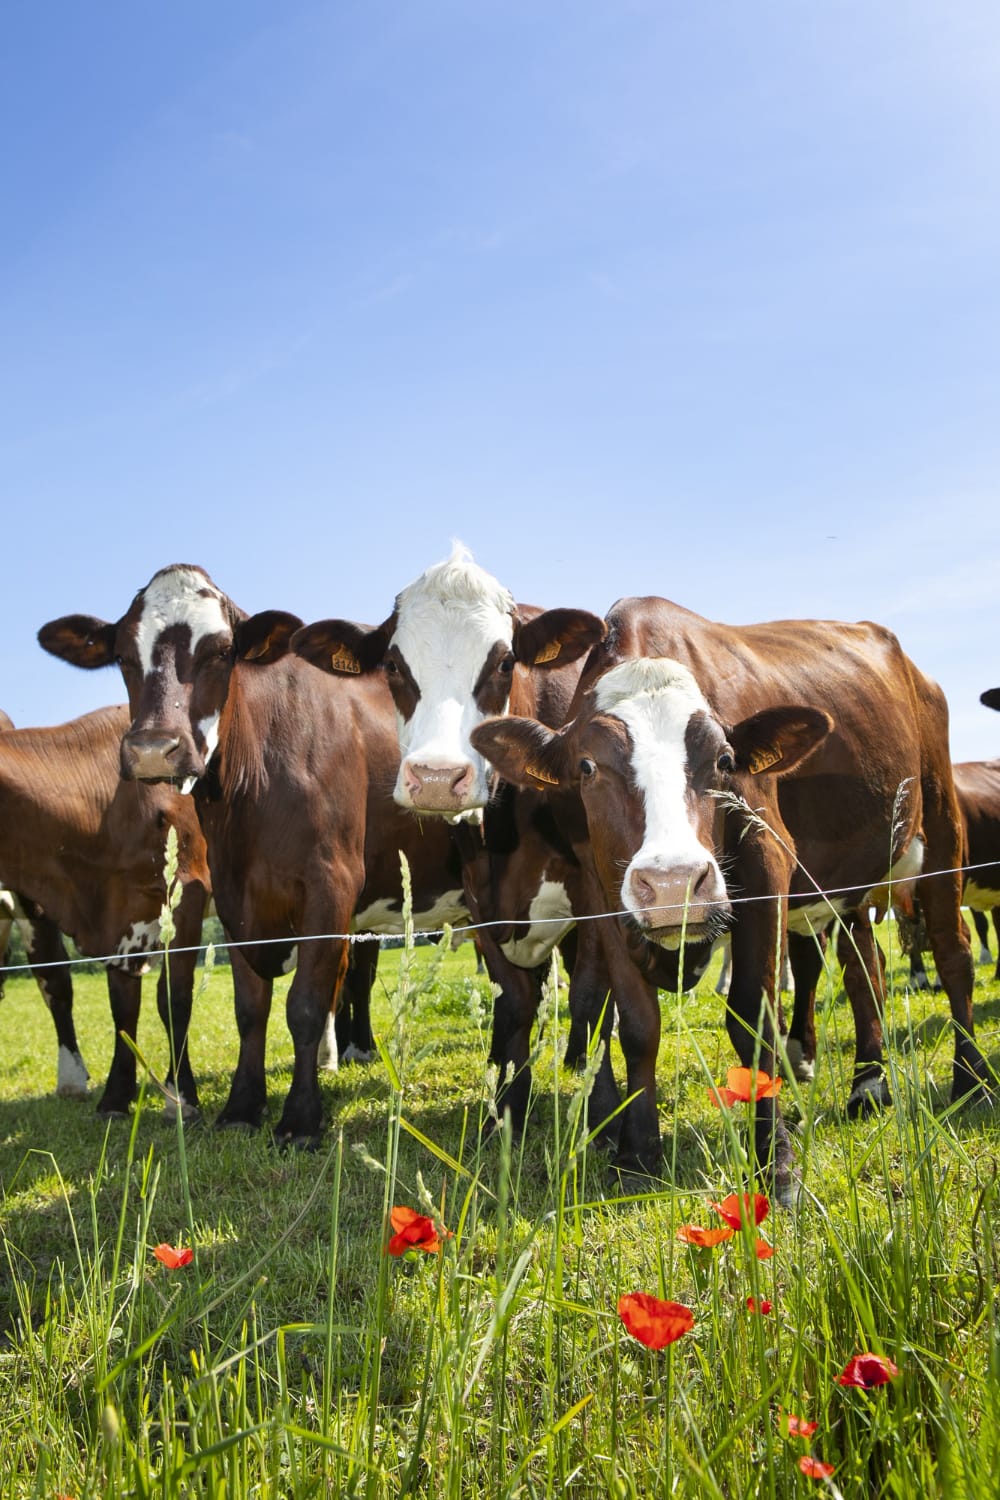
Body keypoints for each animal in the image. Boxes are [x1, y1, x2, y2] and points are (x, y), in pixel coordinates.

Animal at [0, 705, 210, 1114]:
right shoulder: (117, 915)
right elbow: (121, 1007)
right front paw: (115, 1097)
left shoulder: (188, 895)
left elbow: (174, 999)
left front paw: (180, 1096)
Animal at [39, 565, 475, 1144]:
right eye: (124, 655)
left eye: (222, 651)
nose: (154, 749)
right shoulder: (233, 894)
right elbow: (250, 1009)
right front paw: (243, 1107)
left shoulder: (331, 883)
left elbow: (307, 1004)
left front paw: (300, 1119)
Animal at [290, 545, 611, 1133]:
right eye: (393, 665)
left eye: (504, 662)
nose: (438, 778)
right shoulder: (482, 892)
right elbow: (512, 998)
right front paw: (506, 1108)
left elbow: (592, 993)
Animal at [469, 597, 990, 1199]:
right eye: (587, 766)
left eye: (723, 760)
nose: (674, 884)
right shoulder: (602, 893)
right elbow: (636, 1024)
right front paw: (637, 1152)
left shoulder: (768, 863)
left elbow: (754, 1018)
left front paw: (777, 1163)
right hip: (854, 880)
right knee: (867, 967)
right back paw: (868, 1084)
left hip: (942, 825)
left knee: (952, 954)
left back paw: (971, 1080)